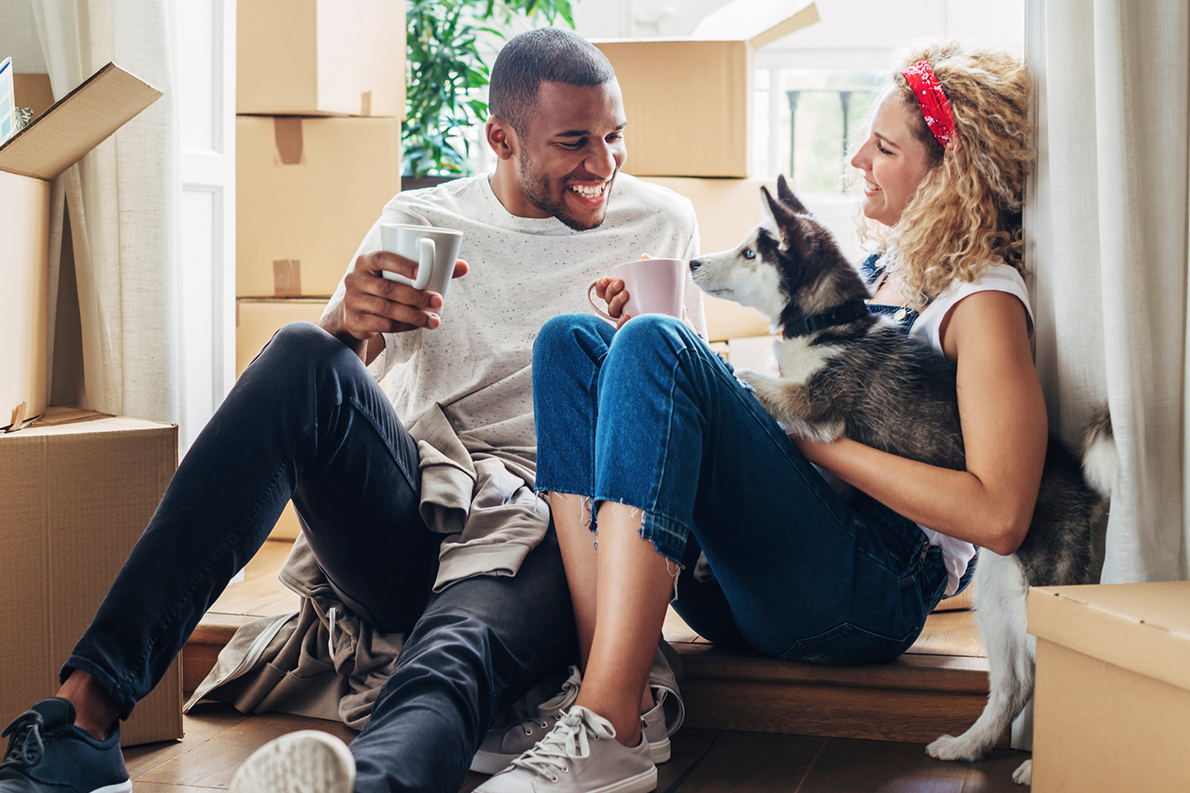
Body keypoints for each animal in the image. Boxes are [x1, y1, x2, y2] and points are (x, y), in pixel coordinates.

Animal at [690, 175, 1113, 785]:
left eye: (751, 252)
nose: (692, 262)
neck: (829, 325)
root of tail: (1082, 483)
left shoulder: (818, 406)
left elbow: (745, 376)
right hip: (997, 599)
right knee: (1014, 683)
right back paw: (967, 746)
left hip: (1038, 595)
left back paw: (1041, 767)